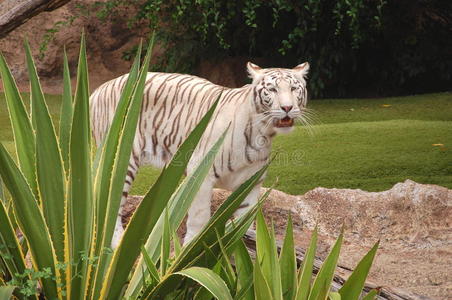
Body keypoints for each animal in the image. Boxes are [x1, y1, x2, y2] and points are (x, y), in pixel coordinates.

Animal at [90, 59, 308, 247]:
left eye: (294, 88)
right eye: (272, 89)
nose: (287, 107)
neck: (262, 133)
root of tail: (98, 90)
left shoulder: (252, 182)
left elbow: (242, 223)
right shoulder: (201, 173)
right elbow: (199, 218)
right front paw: (189, 251)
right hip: (121, 159)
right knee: (111, 205)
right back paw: (115, 246)